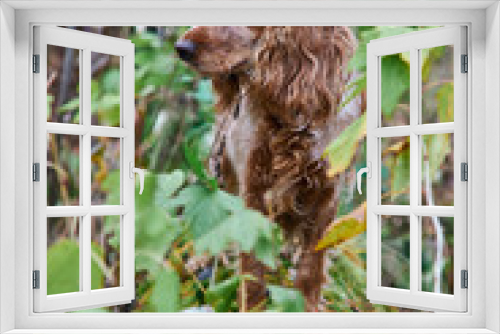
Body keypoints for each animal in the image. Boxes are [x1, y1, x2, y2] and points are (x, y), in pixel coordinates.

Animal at [175, 26, 356, 314]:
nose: (181, 48)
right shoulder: (252, 190)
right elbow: (252, 268)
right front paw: (252, 307)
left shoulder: (326, 195)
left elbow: (311, 268)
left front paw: (307, 305)